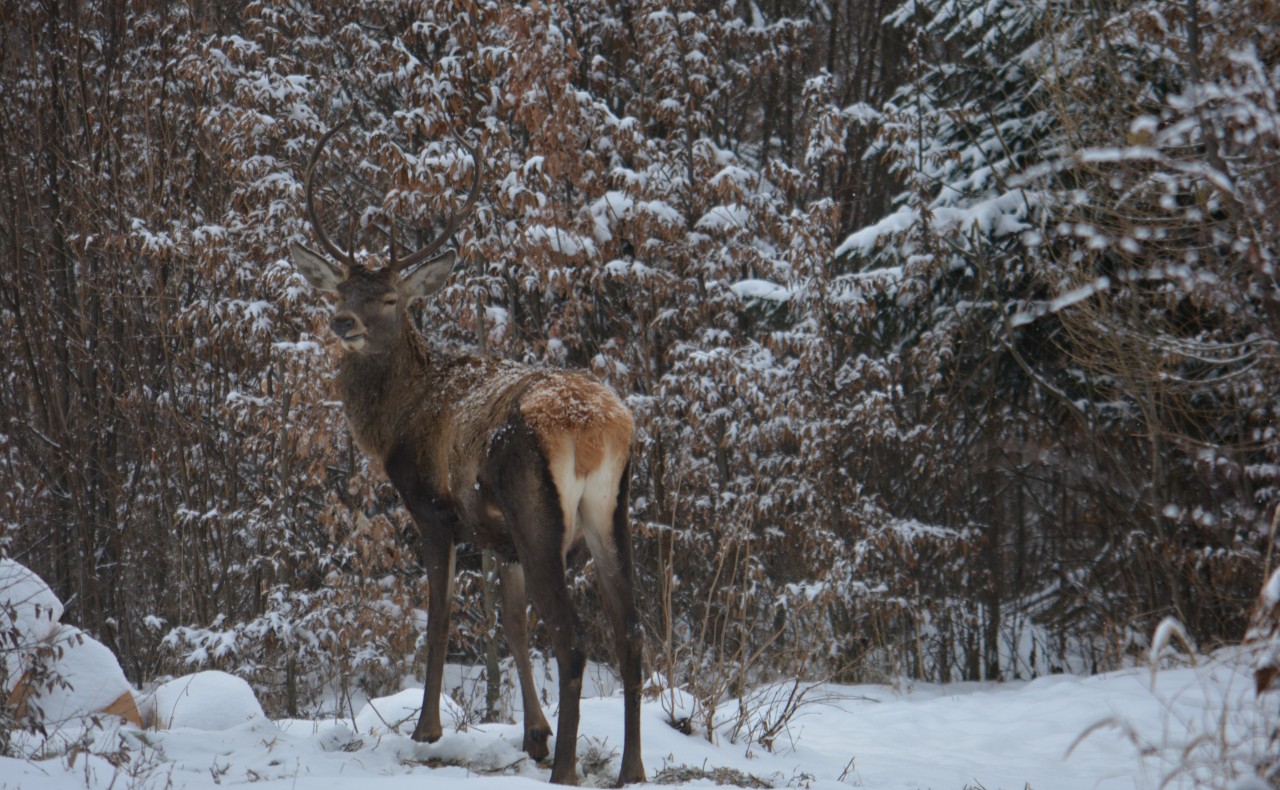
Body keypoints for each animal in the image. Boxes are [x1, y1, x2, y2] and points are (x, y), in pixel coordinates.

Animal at [289, 123, 645, 786]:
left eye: (391, 299)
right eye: (343, 288)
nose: (342, 321)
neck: (396, 424)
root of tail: (593, 428)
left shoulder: (433, 509)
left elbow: (441, 619)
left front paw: (427, 730)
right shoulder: (499, 538)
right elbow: (512, 624)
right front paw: (533, 734)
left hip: (538, 507)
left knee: (573, 637)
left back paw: (567, 770)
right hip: (610, 510)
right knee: (630, 630)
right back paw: (632, 767)